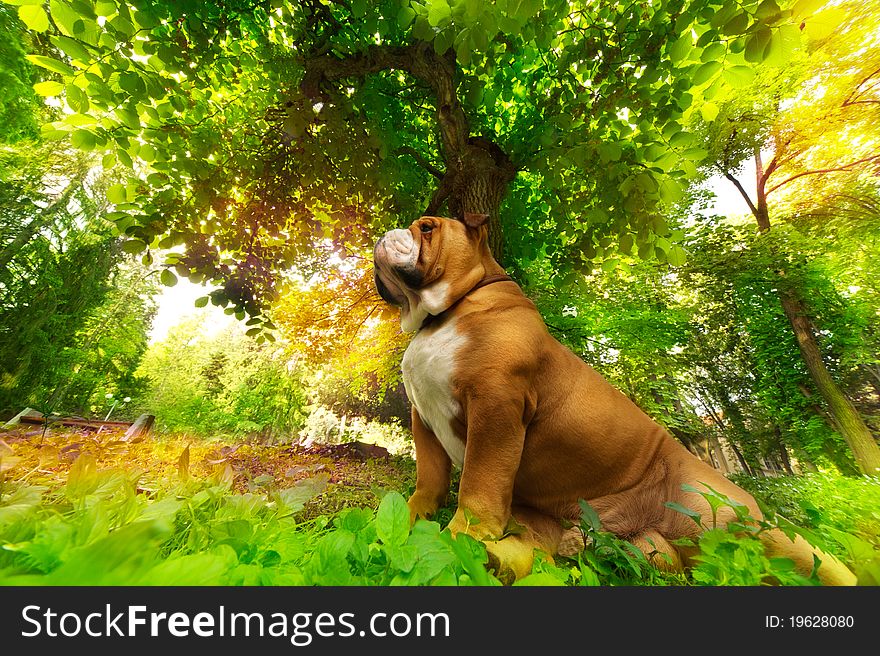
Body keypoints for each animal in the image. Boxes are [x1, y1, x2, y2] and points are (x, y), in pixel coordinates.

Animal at [372, 211, 860, 584]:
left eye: (428, 228)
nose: (386, 234)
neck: (445, 313)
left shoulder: (495, 407)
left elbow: (478, 489)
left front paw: (458, 537)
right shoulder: (423, 418)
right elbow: (429, 479)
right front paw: (410, 520)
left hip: (733, 522)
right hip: (608, 538)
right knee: (548, 553)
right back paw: (516, 557)